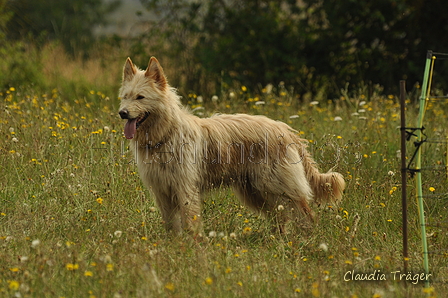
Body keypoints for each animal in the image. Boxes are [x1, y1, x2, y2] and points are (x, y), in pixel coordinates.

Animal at [117, 57, 344, 234]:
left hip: (278, 187)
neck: (165, 134)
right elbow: (171, 226)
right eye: (125, 97)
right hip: (255, 191)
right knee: (280, 217)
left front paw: (193, 247)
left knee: (305, 215)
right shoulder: (162, 191)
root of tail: (285, 129)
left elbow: (190, 222)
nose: (122, 113)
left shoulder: (185, 188)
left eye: (140, 97)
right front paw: (175, 246)